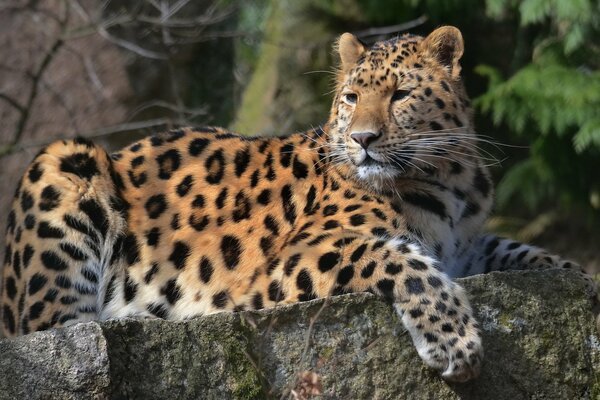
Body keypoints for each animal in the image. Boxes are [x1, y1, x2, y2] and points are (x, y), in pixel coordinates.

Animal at [0, 26, 592, 382]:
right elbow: (398, 257)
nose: (363, 139)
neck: (450, 178)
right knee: (60, 327)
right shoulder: (294, 257)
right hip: (63, 162)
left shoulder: (469, 246)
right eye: (351, 97)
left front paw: (578, 278)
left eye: (400, 95)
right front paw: (454, 340)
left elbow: (523, 251)